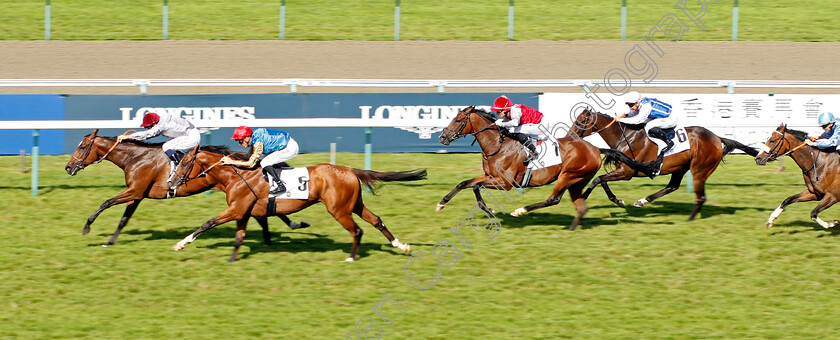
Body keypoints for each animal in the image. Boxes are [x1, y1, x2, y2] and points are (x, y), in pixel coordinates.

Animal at [65, 129, 308, 247]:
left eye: (83, 147)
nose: (68, 167)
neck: (136, 157)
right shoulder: (137, 195)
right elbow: (124, 219)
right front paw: (110, 241)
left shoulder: (135, 191)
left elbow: (105, 202)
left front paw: (87, 227)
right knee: (262, 212)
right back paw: (278, 233)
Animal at [168, 145, 426, 262]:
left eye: (185, 164)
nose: (171, 182)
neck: (235, 176)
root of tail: (350, 170)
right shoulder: (243, 212)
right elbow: (239, 236)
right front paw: (233, 259)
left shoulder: (236, 209)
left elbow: (208, 223)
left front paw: (181, 244)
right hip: (355, 205)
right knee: (377, 221)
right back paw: (401, 245)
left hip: (339, 210)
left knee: (357, 230)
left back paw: (352, 257)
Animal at [436, 105, 660, 230]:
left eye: (458, 119)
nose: (442, 138)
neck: (498, 145)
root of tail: (596, 148)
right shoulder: (489, 177)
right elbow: (467, 184)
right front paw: (445, 204)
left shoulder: (504, 182)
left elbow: (471, 185)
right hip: (577, 180)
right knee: (580, 204)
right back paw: (573, 227)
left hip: (568, 175)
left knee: (554, 199)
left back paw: (521, 210)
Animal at [572, 107, 760, 222]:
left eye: (580, 121)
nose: (570, 136)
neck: (626, 136)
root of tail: (717, 138)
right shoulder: (623, 170)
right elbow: (601, 180)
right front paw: (615, 200)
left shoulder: (626, 172)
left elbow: (599, 179)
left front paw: (591, 197)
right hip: (681, 168)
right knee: (672, 186)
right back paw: (643, 200)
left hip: (699, 170)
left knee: (700, 196)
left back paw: (690, 219)